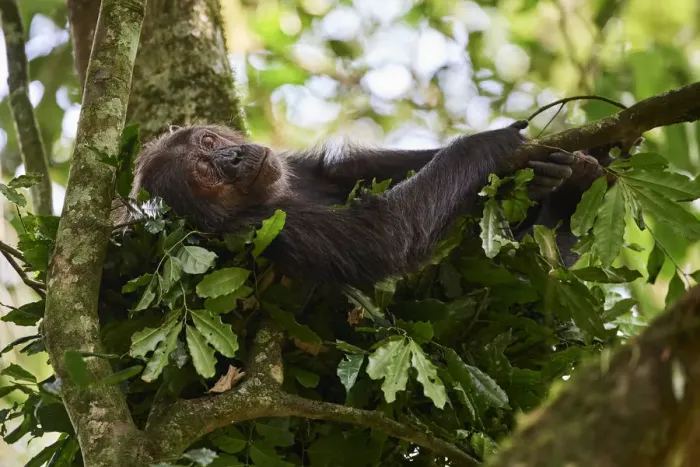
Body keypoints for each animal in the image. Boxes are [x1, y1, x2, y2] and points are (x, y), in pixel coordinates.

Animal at [124, 122, 603, 287]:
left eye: (208, 142)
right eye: (203, 173)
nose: (232, 157)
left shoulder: (300, 166)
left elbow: (359, 171)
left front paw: (546, 172)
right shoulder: (267, 228)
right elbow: (384, 232)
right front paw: (488, 142)